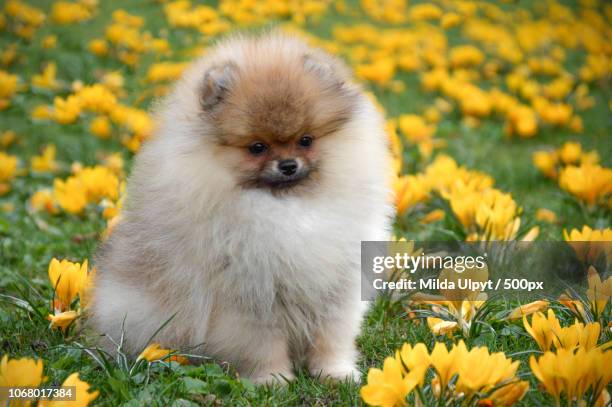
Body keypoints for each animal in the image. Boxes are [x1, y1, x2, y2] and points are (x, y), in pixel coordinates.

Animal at [92, 32, 392, 386]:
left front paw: (335, 373)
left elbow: (331, 336)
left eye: (306, 140)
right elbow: (261, 343)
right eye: (257, 147)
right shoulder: (247, 295)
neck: (287, 205)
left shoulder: (337, 286)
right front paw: (272, 379)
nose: (288, 165)